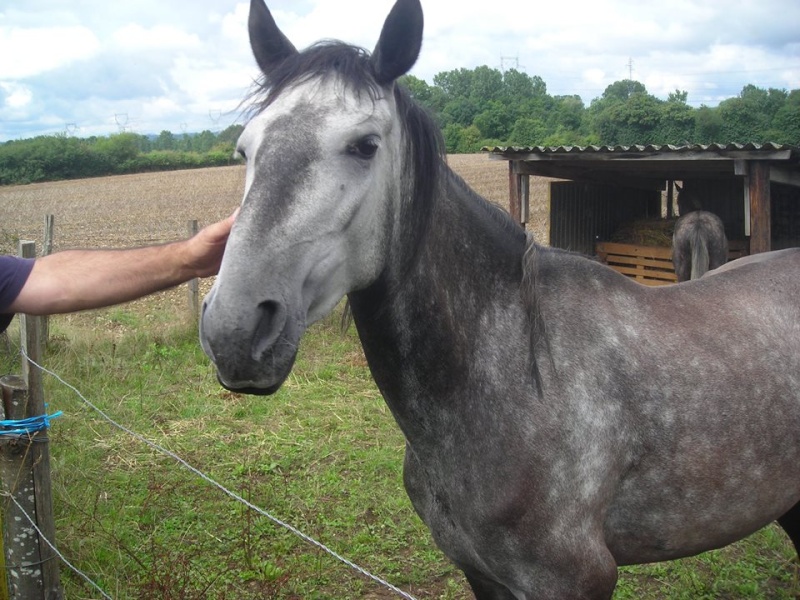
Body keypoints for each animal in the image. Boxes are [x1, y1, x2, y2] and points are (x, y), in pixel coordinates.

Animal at [198, 2, 800, 596]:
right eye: (245, 149)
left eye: (365, 145)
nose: (235, 331)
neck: (516, 376)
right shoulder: (481, 572)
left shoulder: (577, 580)